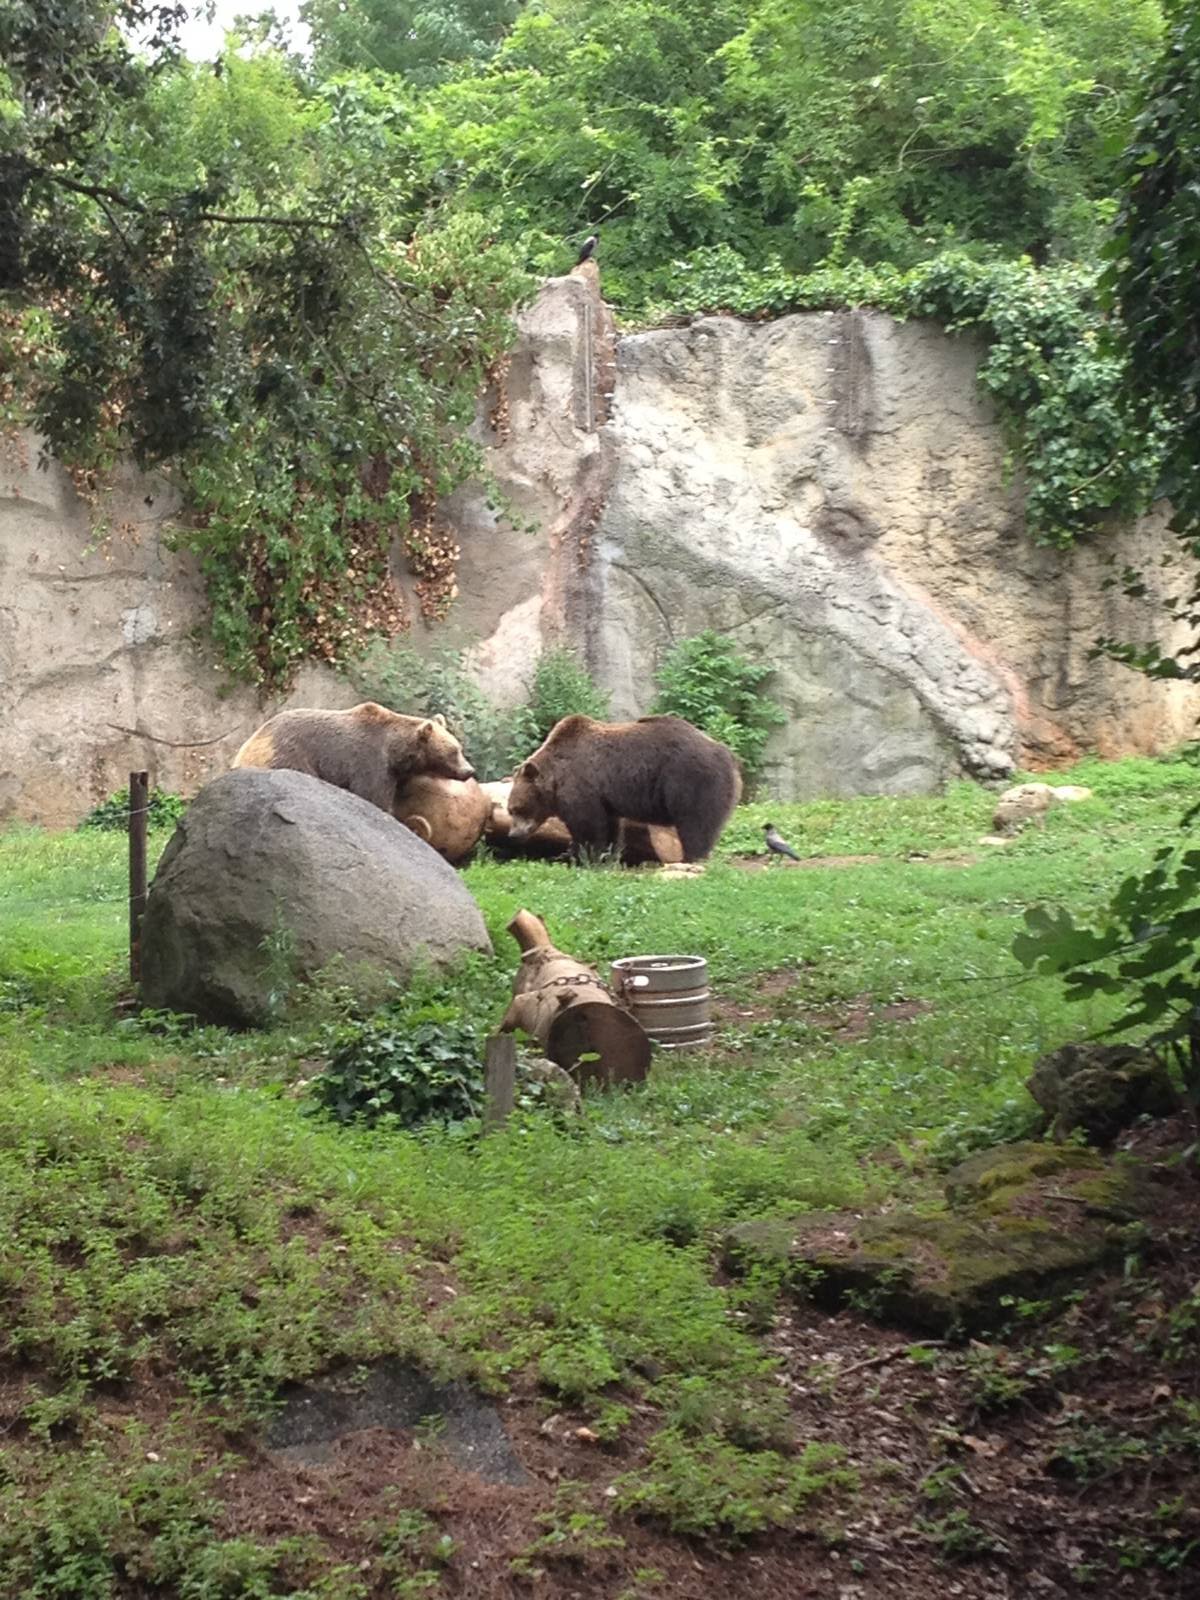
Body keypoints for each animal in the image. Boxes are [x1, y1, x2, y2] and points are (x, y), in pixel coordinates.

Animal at [231, 703, 474, 816]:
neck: (396, 753)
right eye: (455, 751)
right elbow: (374, 798)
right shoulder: (370, 764)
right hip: (288, 755)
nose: (470, 771)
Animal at [505, 714, 741, 863]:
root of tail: (728, 755)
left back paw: (691, 858)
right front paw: (606, 857)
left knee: (695, 823)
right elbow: (609, 827)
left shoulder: (581, 786)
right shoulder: (604, 799)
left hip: (690, 779)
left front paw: (582, 857)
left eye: (516, 808)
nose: (513, 834)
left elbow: (587, 825)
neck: (556, 778)